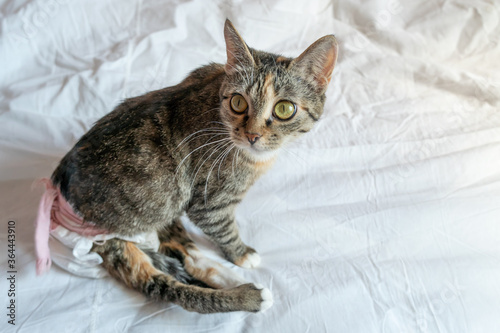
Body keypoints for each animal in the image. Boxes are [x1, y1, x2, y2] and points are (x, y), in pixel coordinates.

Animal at [40, 19, 336, 312]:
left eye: (284, 109)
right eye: (238, 102)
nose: (252, 135)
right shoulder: (209, 202)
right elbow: (224, 229)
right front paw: (240, 254)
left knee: (190, 256)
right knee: (170, 288)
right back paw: (248, 295)